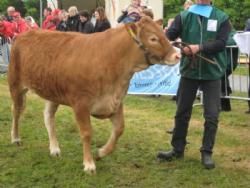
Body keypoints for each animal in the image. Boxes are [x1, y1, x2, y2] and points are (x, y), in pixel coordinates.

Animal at [8, 16, 180, 174]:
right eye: (153, 38)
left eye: (164, 34)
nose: (177, 55)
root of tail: (24, 34)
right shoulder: (81, 104)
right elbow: (86, 133)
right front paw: (89, 164)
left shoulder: (115, 102)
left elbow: (119, 129)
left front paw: (101, 152)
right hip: (15, 84)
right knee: (16, 112)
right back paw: (15, 138)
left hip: (53, 91)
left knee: (48, 117)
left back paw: (55, 149)